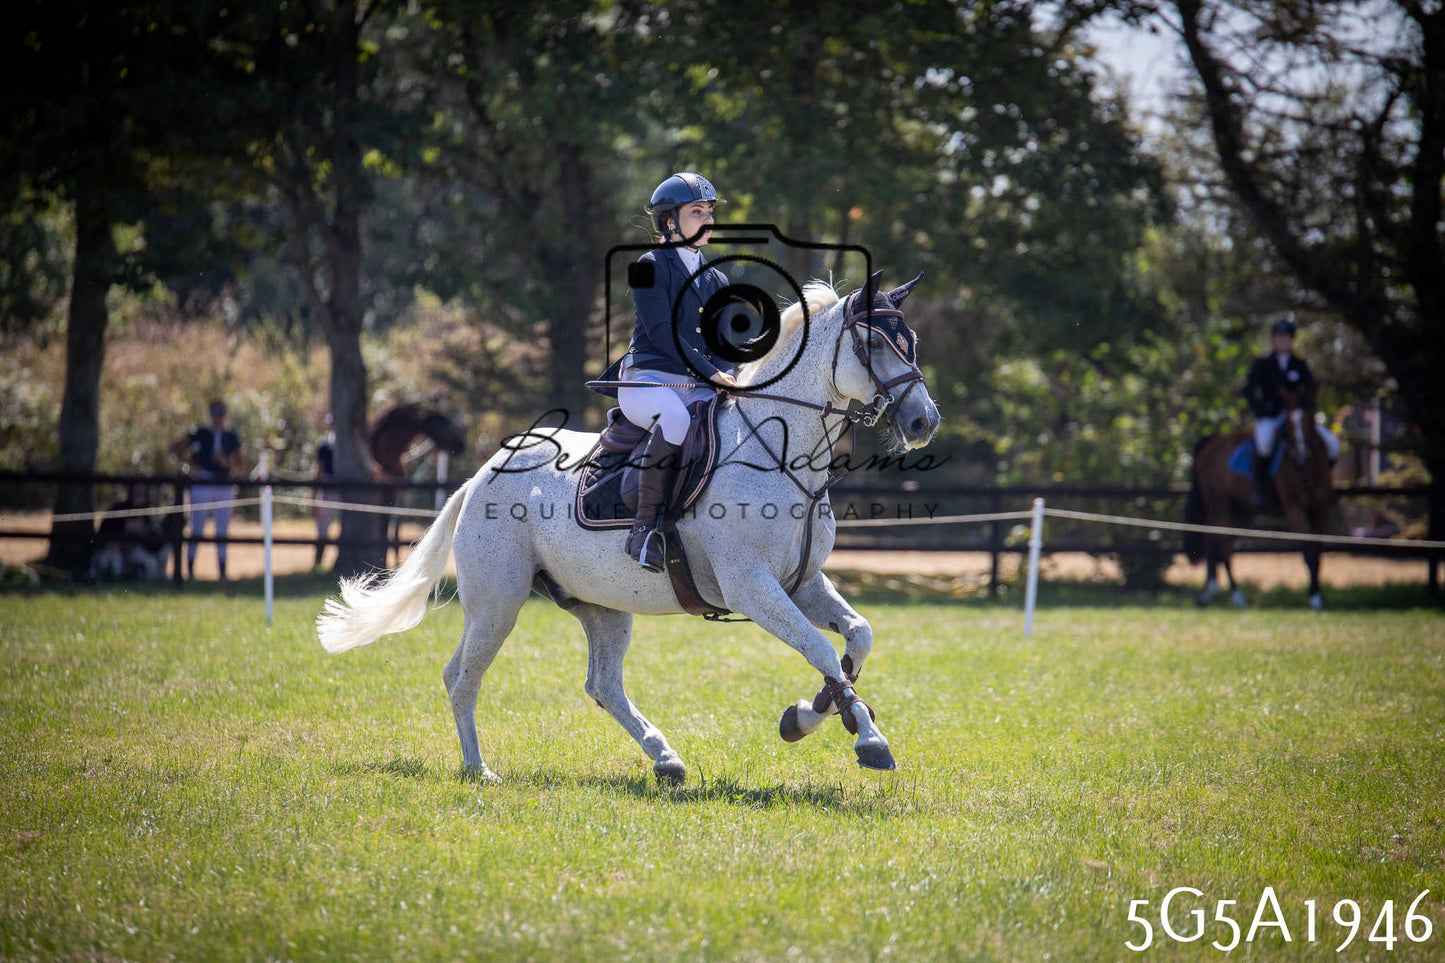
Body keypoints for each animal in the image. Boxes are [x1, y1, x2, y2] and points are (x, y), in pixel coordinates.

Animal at [317, 270, 941, 784]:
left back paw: (665, 758)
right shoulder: (753, 588)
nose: (923, 422)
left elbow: (856, 639)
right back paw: (479, 770)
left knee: (602, 684)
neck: (779, 451)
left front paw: (808, 716)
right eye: (871, 344)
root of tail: (479, 476)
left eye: (910, 341)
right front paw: (868, 740)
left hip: (602, 605)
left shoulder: (803, 583)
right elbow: (822, 649)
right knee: (461, 676)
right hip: (498, 602)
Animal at [1184, 391, 1334, 610]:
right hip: (1220, 505)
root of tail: (1214, 441)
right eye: (1288, 424)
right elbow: (1308, 552)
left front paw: (1318, 596)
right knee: (1222, 544)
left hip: (1242, 513)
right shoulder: (1294, 509)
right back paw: (1237, 596)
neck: (1306, 471)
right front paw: (1315, 599)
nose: (1300, 456)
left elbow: (1318, 554)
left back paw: (1209, 593)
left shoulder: (1321, 511)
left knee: (1216, 542)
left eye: (1311, 418)